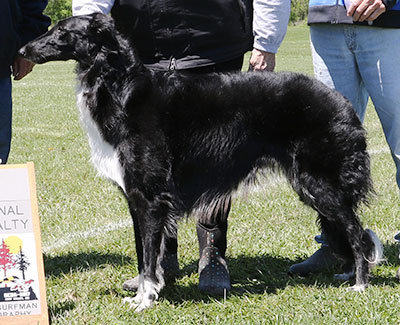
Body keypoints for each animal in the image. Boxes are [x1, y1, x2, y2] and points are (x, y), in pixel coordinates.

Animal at [20, 13, 382, 312]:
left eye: (62, 31)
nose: (23, 49)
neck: (122, 87)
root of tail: (342, 102)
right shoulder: (137, 197)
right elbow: (145, 252)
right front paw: (144, 293)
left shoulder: (150, 196)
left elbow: (148, 255)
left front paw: (145, 300)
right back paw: (348, 274)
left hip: (321, 184)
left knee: (356, 231)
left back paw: (360, 283)